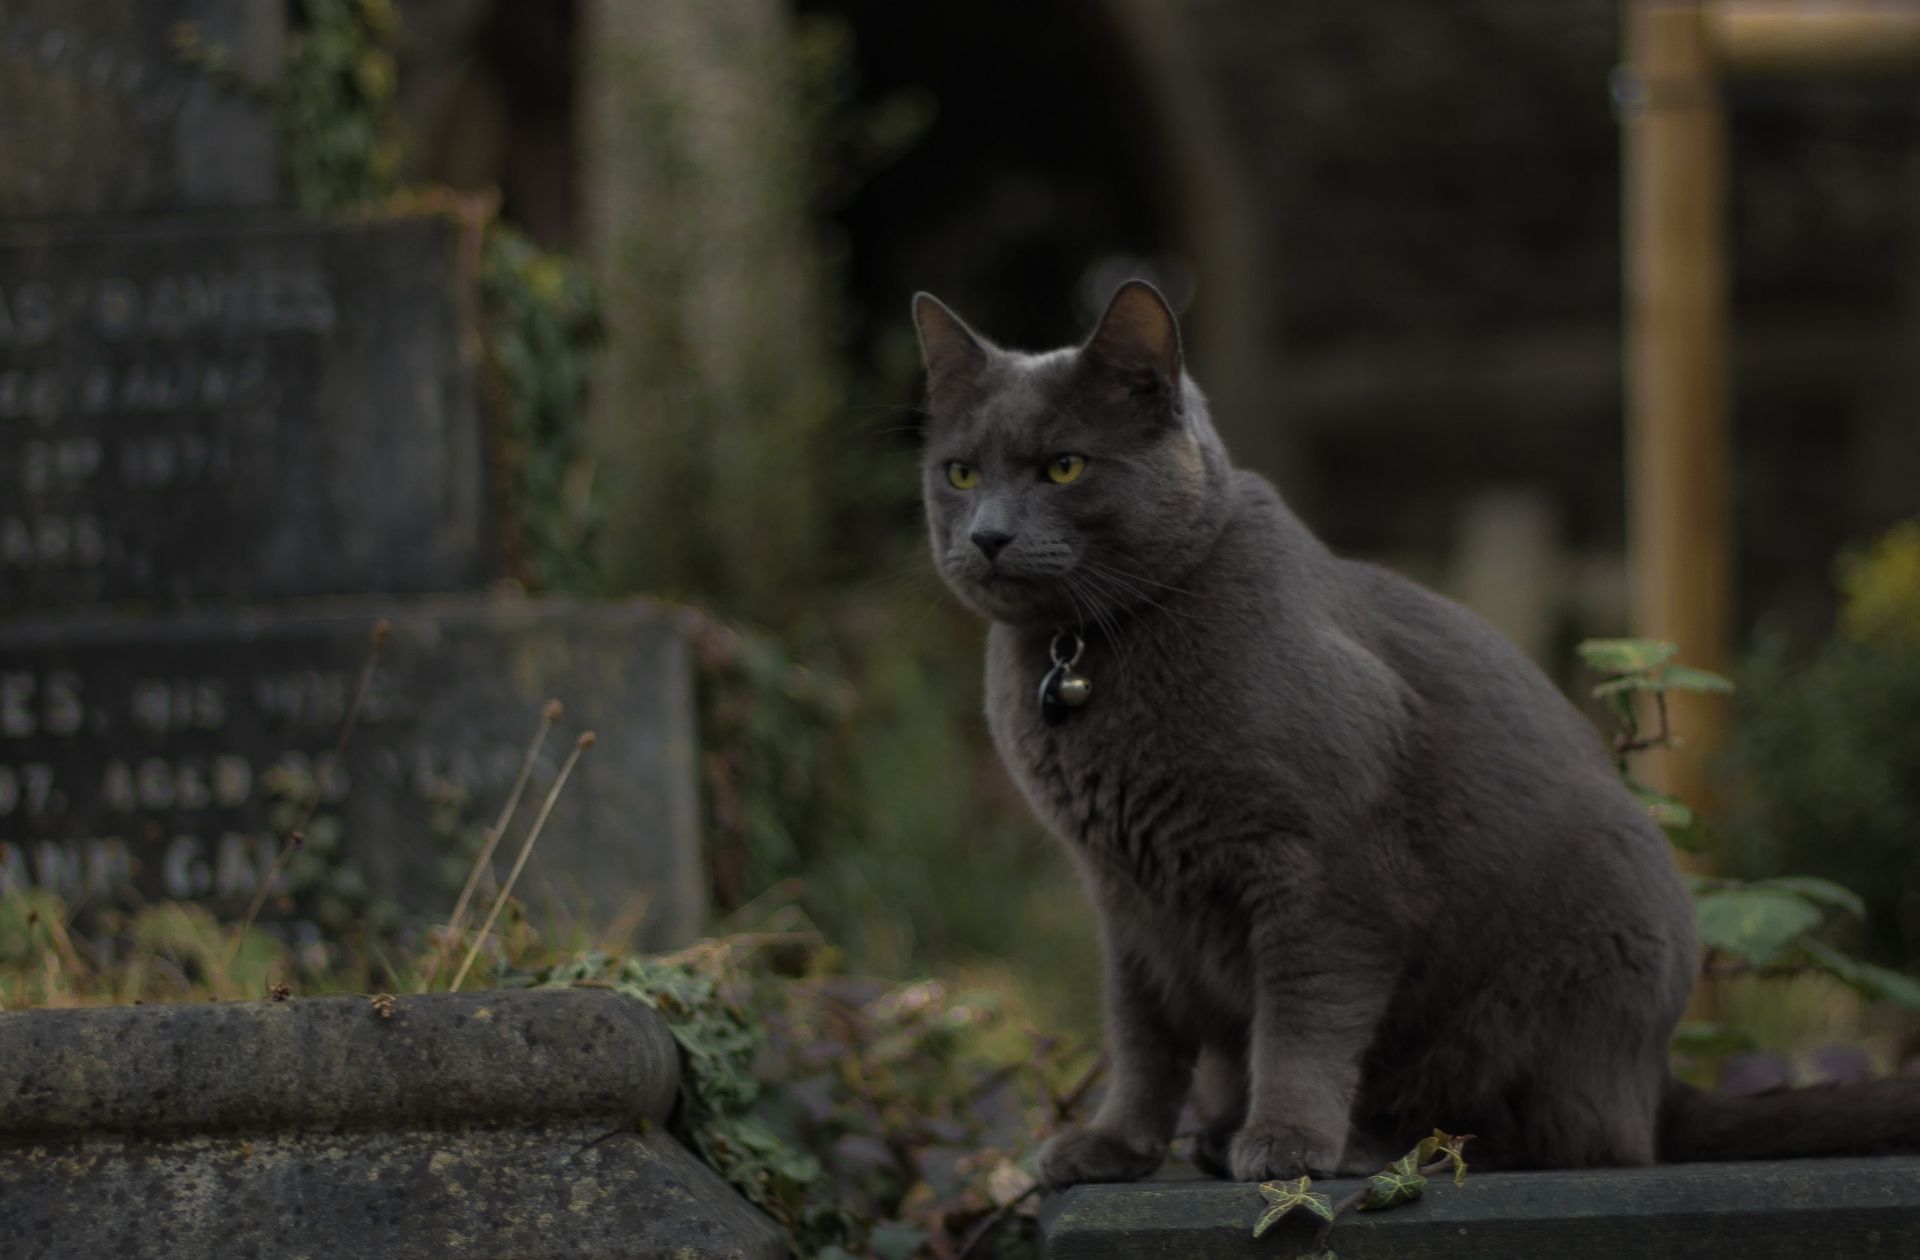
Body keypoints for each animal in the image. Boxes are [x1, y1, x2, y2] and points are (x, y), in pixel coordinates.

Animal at [910, 280, 1920, 1183]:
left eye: (1064, 466)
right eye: (960, 473)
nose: (988, 535)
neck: (1083, 650)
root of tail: (1658, 1083)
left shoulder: (1329, 873)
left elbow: (1303, 1020)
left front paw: (1286, 1144)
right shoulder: (1126, 897)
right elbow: (1143, 1032)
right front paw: (1113, 1148)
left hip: (1564, 979)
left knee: (1556, 1137)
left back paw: (1358, 1145)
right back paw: (1215, 1135)